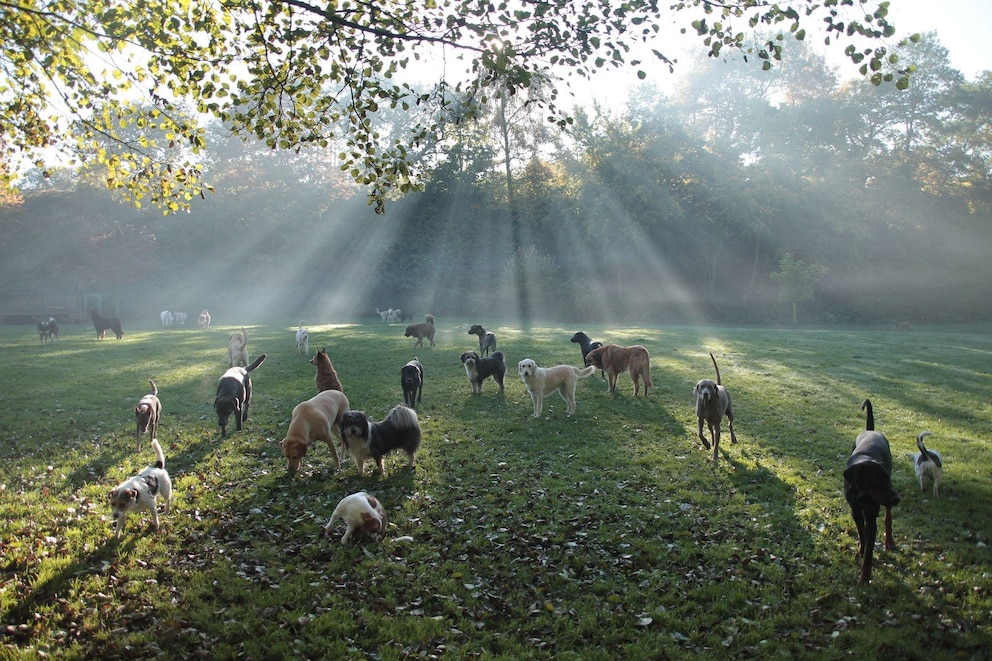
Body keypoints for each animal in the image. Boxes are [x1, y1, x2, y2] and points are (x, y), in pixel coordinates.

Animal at [840, 398, 904, 584]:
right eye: (876, 480)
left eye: (886, 479)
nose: (897, 499)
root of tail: (871, 431)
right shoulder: (855, 509)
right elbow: (862, 533)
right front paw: (861, 549)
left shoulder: (871, 513)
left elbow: (870, 544)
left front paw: (864, 578)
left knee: (887, 517)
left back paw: (889, 541)